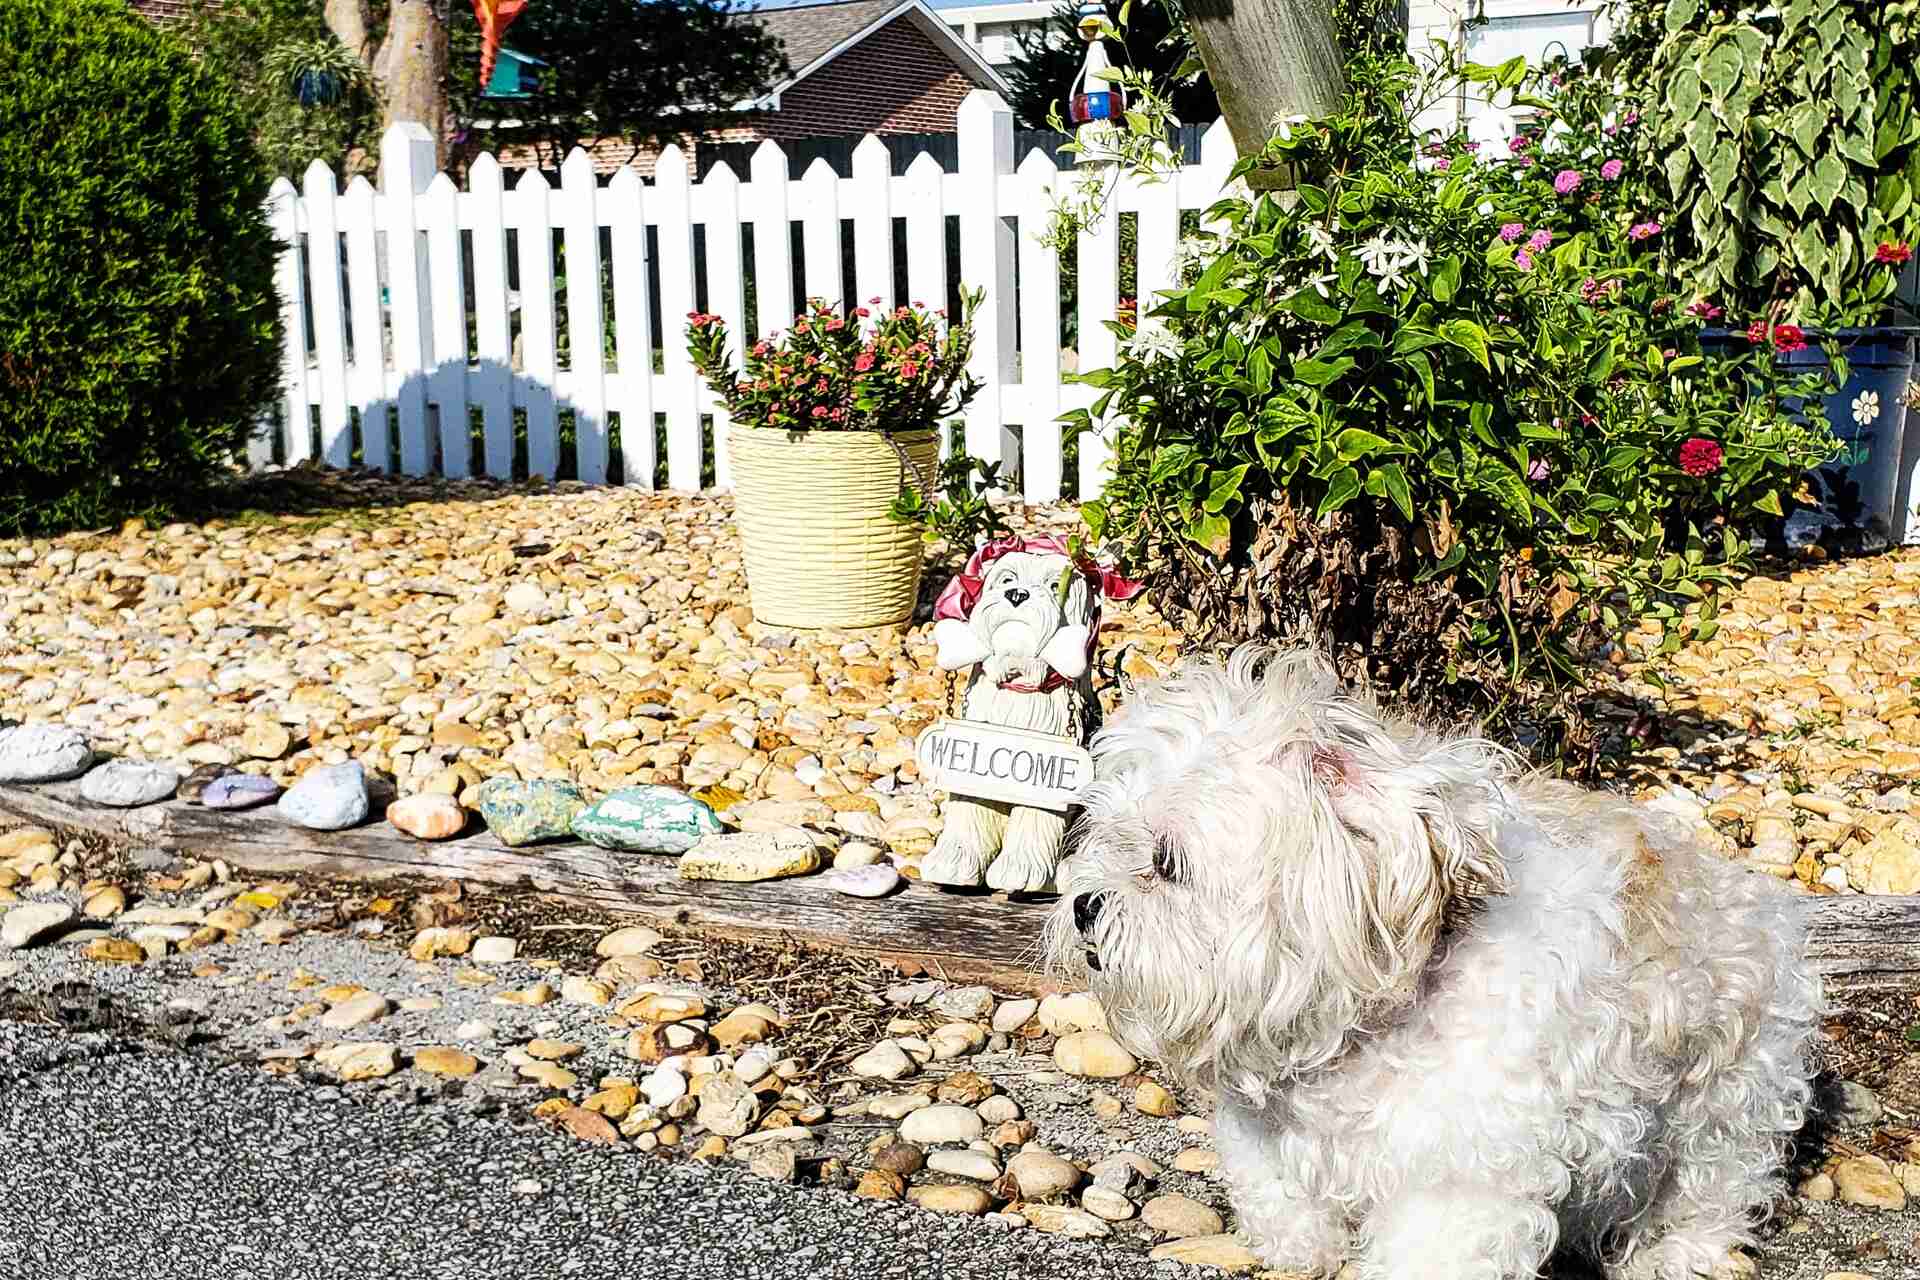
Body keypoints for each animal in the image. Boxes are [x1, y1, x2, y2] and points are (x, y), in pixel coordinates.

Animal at [1059, 652, 1820, 1280]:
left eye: (1167, 862)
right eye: (1109, 840)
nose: (1084, 904)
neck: (1372, 1022)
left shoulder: (1458, 1176)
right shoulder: (1268, 1140)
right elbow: (1283, 1199)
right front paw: (1304, 1249)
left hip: (1730, 1100)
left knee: (1712, 1189)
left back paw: (1675, 1251)